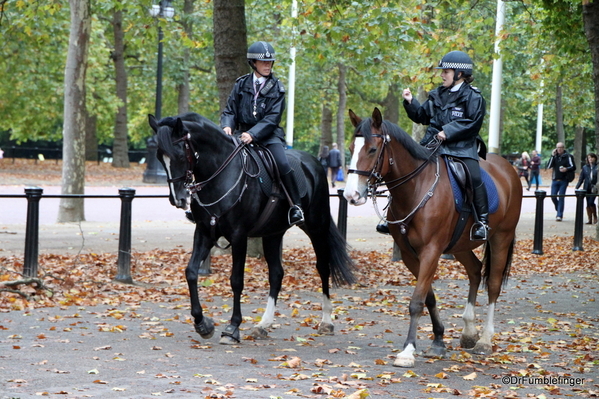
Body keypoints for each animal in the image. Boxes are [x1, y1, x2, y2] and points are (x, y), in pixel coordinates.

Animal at [150, 114, 356, 346]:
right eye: (159, 156)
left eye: (178, 155)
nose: (178, 199)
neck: (221, 175)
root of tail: (314, 163)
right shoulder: (204, 232)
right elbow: (191, 272)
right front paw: (203, 324)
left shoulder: (239, 236)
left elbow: (236, 281)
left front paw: (232, 328)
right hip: (273, 234)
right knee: (276, 273)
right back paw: (263, 325)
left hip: (316, 227)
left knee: (323, 267)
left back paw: (326, 321)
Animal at [344, 108, 524, 368]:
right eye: (351, 148)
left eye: (372, 149)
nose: (351, 195)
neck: (416, 187)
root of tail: (508, 168)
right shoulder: (410, 255)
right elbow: (428, 297)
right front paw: (438, 340)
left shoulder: (431, 251)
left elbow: (417, 301)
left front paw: (408, 350)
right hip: (460, 245)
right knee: (474, 270)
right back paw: (469, 331)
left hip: (501, 237)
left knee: (493, 285)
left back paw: (485, 340)